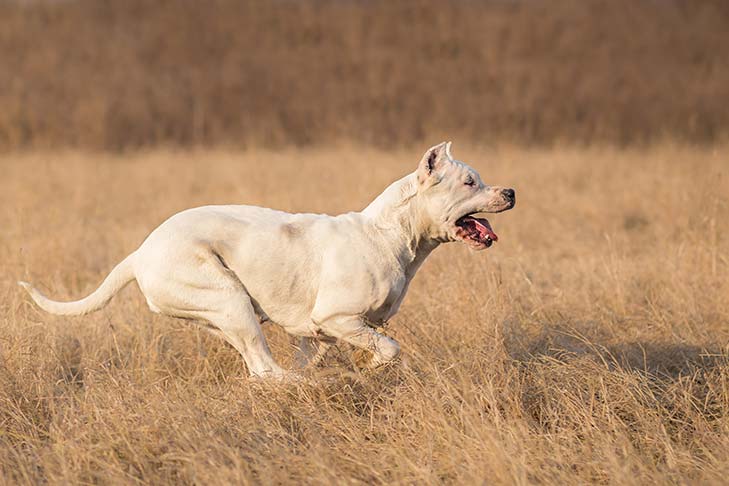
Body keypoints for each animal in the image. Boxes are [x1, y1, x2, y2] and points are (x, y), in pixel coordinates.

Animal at [19, 142, 516, 378]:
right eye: (470, 182)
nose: (511, 191)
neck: (391, 233)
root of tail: (141, 251)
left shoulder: (319, 335)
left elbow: (323, 353)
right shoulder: (339, 319)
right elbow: (389, 348)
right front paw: (373, 368)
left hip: (223, 315)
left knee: (261, 367)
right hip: (229, 300)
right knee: (265, 371)